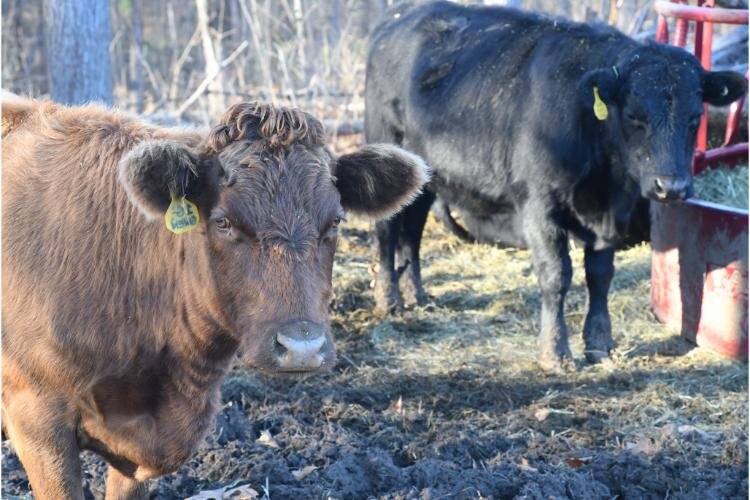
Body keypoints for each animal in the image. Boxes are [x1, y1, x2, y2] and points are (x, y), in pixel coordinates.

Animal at [368, 1, 748, 372]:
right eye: (634, 116)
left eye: (695, 117)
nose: (671, 186)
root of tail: (399, 18)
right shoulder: (539, 205)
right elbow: (556, 275)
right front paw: (555, 352)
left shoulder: (614, 209)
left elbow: (600, 274)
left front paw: (599, 344)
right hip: (387, 143)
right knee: (387, 227)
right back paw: (389, 299)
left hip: (428, 173)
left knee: (413, 227)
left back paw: (416, 294)